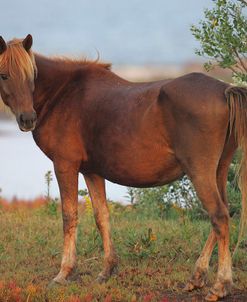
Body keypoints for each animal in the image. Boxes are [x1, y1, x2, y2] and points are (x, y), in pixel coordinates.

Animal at [0, 34, 247, 300]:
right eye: (4, 75)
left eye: (31, 75)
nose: (28, 118)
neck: (63, 93)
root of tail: (224, 90)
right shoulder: (92, 171)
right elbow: (102, 216)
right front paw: (107, 270)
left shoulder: (65, 165)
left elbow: (69, 216)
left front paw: (64, 273)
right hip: (218, 170)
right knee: (223, 213)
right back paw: (197, 277)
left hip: (200, 172)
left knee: (219, 216)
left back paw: (221, 284)